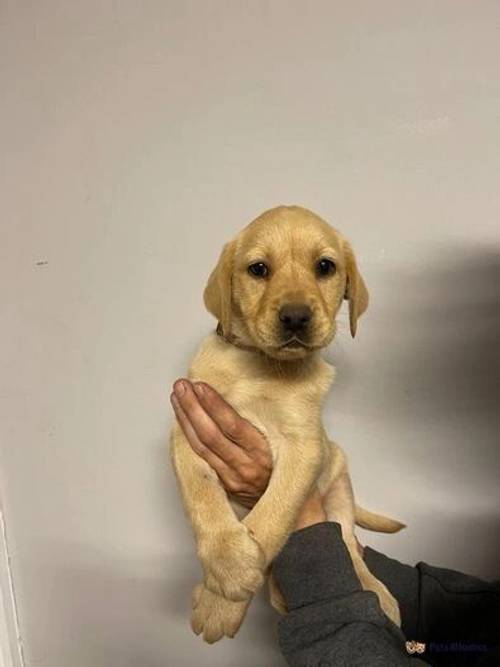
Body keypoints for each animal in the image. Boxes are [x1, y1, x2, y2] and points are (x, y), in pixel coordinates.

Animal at [170, 206, 404, 644]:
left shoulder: (303, 447)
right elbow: (202, 495)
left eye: (325, 267)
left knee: (348, 543)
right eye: (258, 269)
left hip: (338, 479)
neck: (263, 367)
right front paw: (227, 561)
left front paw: (221, 596)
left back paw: (378, 594)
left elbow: (273, 514)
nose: (295, 317)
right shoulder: (186, 428)